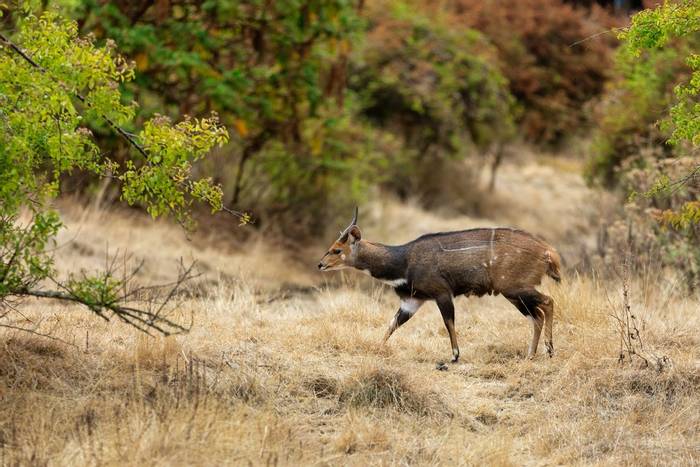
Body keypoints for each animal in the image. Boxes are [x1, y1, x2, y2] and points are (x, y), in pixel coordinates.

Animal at [320, 208, 560, 366]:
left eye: (336, 250)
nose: (320, 264)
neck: (404, 262)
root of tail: (548, 252)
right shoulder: (412, 301)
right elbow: (392, 324)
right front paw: (377, 348)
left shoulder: (442, 293)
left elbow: (448, 322)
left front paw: (454, 356)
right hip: (512, 293)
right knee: (537, 315)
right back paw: (531, 355)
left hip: (514, 288)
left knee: (548, 302)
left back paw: (549, 350)